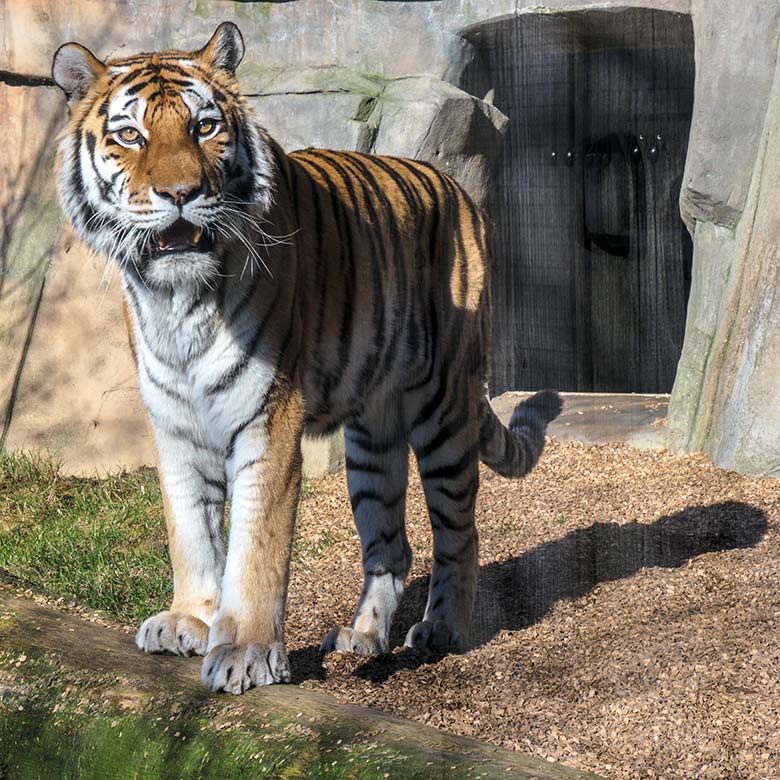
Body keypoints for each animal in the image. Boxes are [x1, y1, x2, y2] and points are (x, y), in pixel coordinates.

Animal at [50, 22, 560, 696]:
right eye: (130, 135)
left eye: (204, 127)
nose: (181, 194)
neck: (177, 302)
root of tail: (460, 191)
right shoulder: (175, 423)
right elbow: (190, 530)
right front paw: (190, 620)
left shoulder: (268, 417)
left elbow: (256, 548)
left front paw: (243, 651)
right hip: (371, 436)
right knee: (391, 546)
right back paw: (363, 638)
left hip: (444, 407)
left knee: (460, 530)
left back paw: (443, 629)